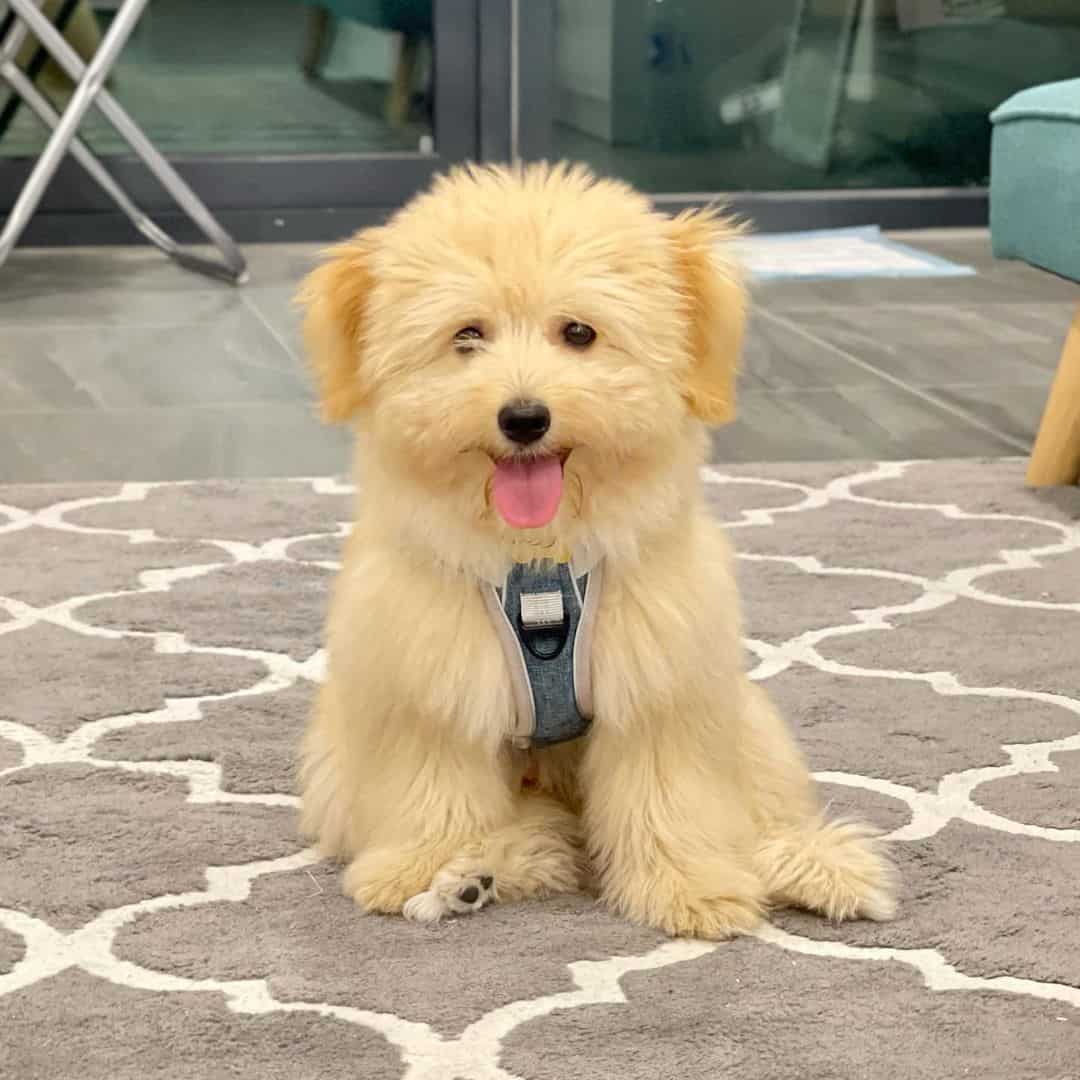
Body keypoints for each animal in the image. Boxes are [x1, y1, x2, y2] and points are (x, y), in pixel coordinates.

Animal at [295, 162, 894, 937]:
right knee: (539, 832)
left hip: (748, 726)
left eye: (579, 332)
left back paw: (815, 866)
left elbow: (670, 794)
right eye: (467, 336)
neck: (537, 564)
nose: (523, 417)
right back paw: (480, 874)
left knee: (756, 810)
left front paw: (689, 887)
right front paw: (426, 867)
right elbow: (433, 786)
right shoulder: (428, 687)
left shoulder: (660, 685)